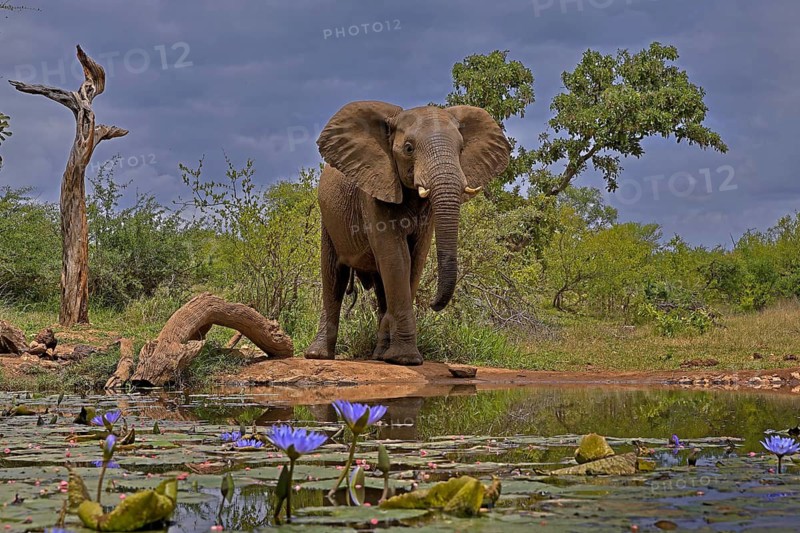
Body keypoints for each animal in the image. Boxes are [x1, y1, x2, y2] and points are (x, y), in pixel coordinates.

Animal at [304, 101, 511, 366]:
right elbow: (397, 257)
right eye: (409, 148)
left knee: (381, 285)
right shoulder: (375, 188)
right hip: (328, 219)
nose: (433, 304)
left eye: (461, 148)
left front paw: (392, 354)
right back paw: (317, 355)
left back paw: (379, 353)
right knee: (334, 277)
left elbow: (415, 259)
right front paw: (406, 359)